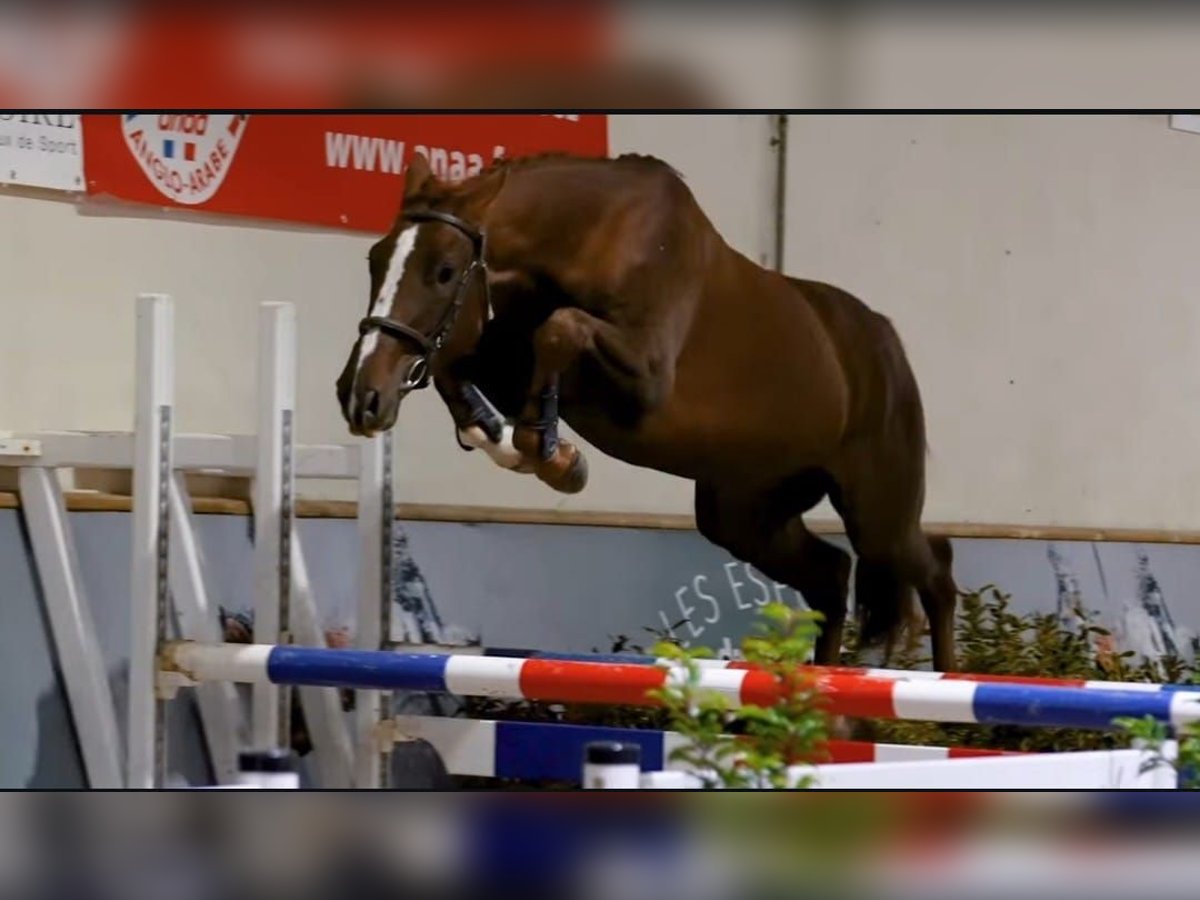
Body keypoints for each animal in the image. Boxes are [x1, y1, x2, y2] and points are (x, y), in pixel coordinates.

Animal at [336, 150, 955, 672]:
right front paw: (520, 443)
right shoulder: (499, 357)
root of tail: (885, 340)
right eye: (373, 260)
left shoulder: (646, 377)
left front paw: (548, 451)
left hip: (876, 511)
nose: (358, 395)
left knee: (933, 569)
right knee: (830, 575)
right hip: (746, 512)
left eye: (443, 270)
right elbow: (455, 366)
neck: (589, 241)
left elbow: (561, 329)